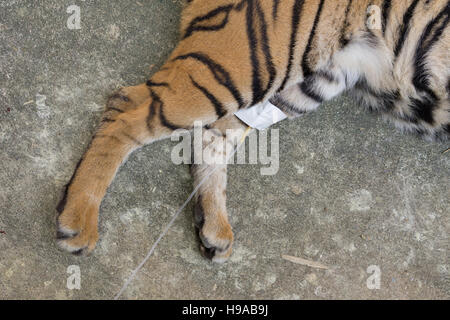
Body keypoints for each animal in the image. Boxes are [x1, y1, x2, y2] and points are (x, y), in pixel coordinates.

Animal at [57, 0, 450, 262]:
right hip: (247, 62)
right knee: (127, 108)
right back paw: (78, 222)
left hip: (305, 82)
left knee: (210, 138)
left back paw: (214, 230)